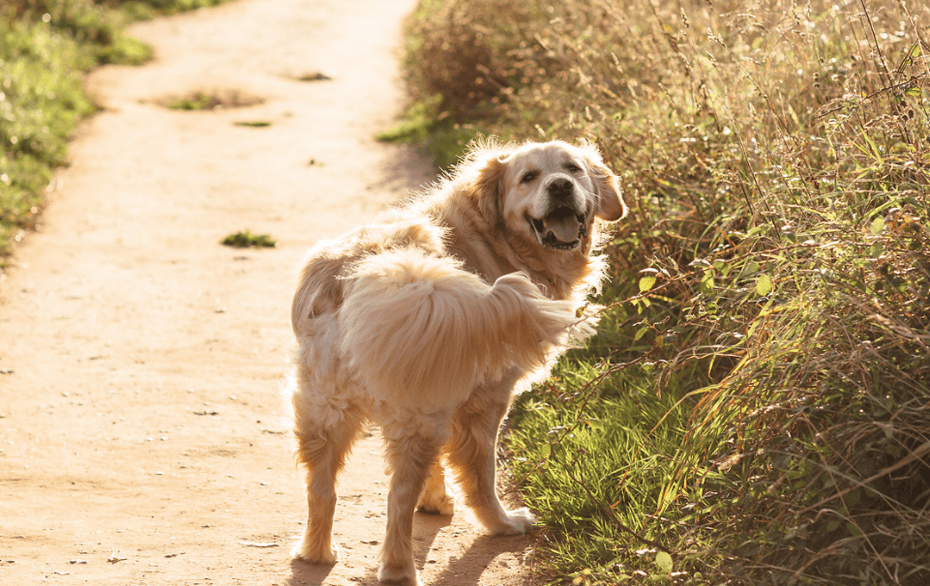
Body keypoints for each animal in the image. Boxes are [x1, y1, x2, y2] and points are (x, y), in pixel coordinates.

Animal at [288, 139, 624, 580]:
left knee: (321, 489)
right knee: (396, 498)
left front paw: (434, 501)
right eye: (528, 177)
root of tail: (351, 275)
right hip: (417, 418)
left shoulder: (441, 383)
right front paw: (501, 522)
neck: (495, 239)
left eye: (573, 168)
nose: (560, 187)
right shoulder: (485, 400)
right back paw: (402, 569)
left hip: (326, 410)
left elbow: (438, 469)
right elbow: (481, 475)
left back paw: (317, 552)